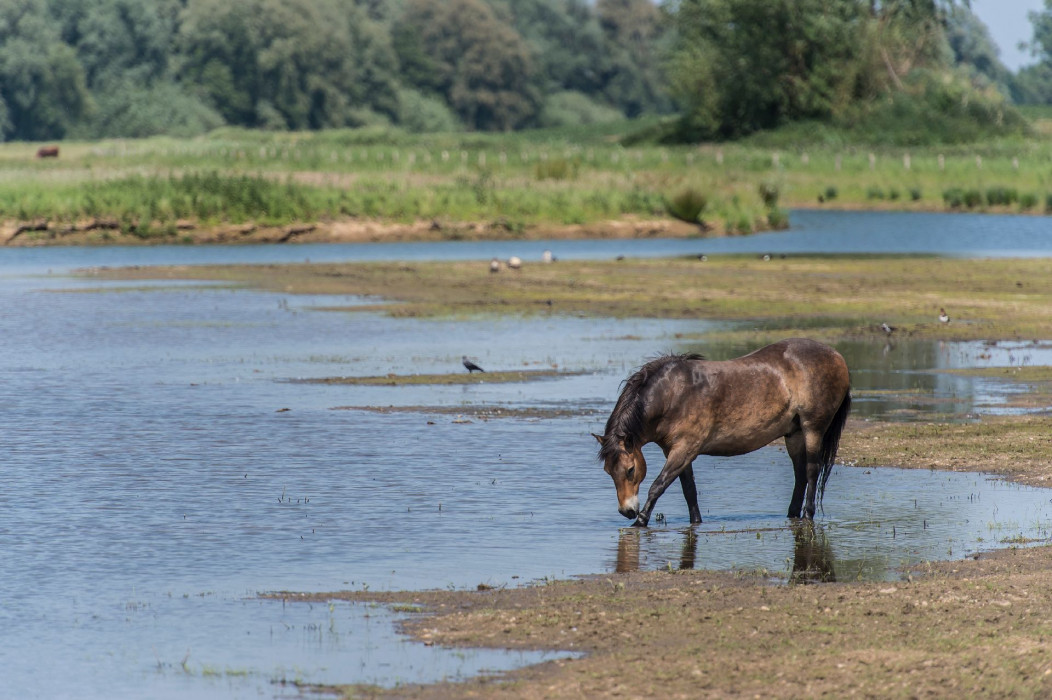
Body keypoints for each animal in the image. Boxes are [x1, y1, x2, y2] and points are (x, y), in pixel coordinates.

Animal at [597, 338, 850, 524]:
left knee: (811, 471)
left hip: (813, 428)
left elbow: (658, 486)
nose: (627, 511)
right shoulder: (676, 451)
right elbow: (689, 490)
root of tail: (837, 356)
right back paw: (792, 514)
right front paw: (696, 522)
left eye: (630, 469)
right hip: (794, 434)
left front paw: (640, 522)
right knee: (799, 475)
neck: (673, 394)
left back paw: (807, 515)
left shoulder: (684, 449)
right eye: (608, 471)